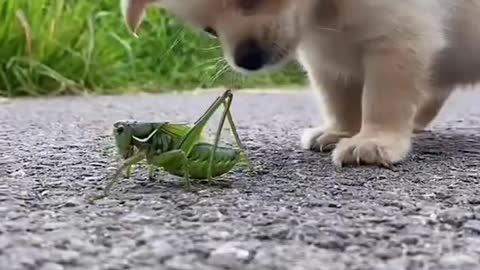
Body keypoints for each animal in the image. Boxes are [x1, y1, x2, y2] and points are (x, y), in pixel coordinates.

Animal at [122, 0, 480, 167]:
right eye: (210, 30)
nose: (246, 59)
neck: (324, 11)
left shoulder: (397, 38)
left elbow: (384, 100)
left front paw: (375, 140)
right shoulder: (324, 56)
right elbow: (338, 98)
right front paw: (340, 132)